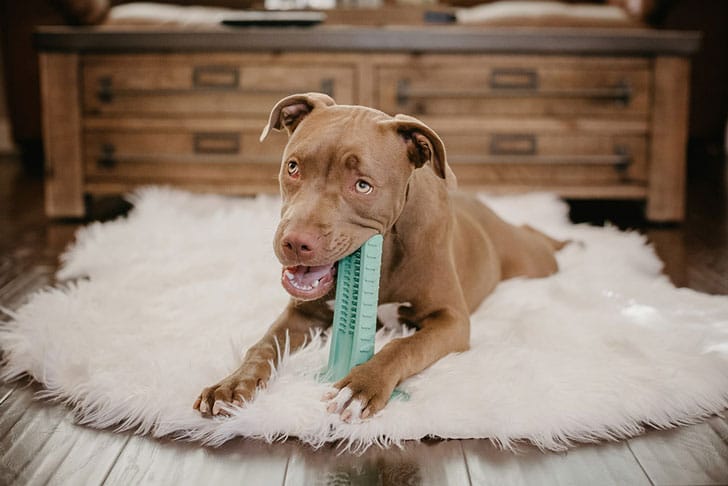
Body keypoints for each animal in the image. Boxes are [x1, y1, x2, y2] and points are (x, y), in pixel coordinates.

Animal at [194, 93, 565, 421]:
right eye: (293, 167)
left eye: (363, 186)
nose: (295, 242)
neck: (385, 252)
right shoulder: (303, 315)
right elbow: (263, 345)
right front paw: (231, 384)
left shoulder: (451, 320)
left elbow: (403, 346)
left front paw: (360, 387)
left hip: (531, 258)